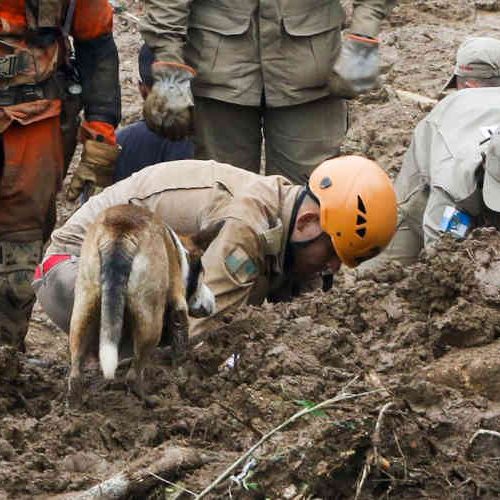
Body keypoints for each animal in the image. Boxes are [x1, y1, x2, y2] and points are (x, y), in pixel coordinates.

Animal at [67, 203, 223, 406]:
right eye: (202, 274)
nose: (213, 302)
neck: (179, 253)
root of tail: (122, 231)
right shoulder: (178, 305)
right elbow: (180, 340)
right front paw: (181, 374)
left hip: (84, 308)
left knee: (75, 369)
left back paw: (74, 405)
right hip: (151, 321)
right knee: (133, 375)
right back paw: (149, 400)